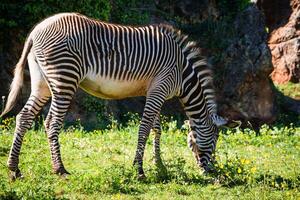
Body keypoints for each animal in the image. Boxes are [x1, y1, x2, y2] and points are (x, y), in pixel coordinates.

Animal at [0, 13, 232, 180]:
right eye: (214, 139)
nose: (211, 172)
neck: (183, 73)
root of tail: (36, 30)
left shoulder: (153, 91)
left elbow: (156, 128)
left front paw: (159, 165)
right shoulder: (160, 89)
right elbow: (144, 129)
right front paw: (139, 170)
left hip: (42, 83)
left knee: (24, 117)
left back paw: (14, 169)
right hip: (64, 78)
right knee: (52, 123)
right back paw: (60, 170)